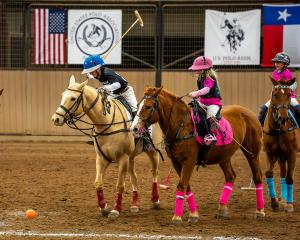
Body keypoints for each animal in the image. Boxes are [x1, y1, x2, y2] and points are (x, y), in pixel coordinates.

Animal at [51, 76, 162, 218]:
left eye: (73, 98)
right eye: (62, 95)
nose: (56, 119)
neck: (107, 123)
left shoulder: (123, 158)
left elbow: (120, 185)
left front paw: (116, 209)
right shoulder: (102, 158)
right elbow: (98, 183)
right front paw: (103, 207)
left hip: (153, 152)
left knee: (155, 172)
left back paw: (156, 201)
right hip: (131, 158)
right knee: (134, 178)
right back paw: (135, 205)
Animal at [131, 87, 264, 224]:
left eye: (148, 106)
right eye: (138, 105)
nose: (134, 128)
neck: (181, 127)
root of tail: (250, 113)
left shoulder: (189, 161)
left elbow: (181, 185)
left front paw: (177, 217)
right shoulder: (176, 162)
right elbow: (186, 186)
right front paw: (193, 214)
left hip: (252, 153)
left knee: (257, 176)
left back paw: (259, 211)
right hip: (223, 156)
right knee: (230, 176)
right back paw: (222, 209)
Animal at [264, 77, 298, 212]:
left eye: (289, 94)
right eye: (274, 94)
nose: (282, 118)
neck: (277, 130)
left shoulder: (292, 154)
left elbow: (290, 177)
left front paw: (289, 204)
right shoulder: (271, 153)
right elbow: (269, 173)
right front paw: (275, 203)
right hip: (281, 157)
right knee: (283, 173)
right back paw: (282, 199)